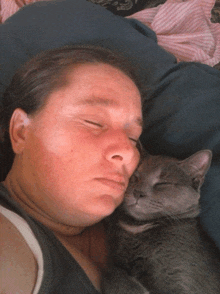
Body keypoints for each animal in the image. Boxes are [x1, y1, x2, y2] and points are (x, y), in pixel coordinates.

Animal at [102, 150, 220, 292]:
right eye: (135, 177)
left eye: (162, 183)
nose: (138, 192)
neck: (138, 227)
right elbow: (112, 272)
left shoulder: (180, 279)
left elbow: (111, 273)